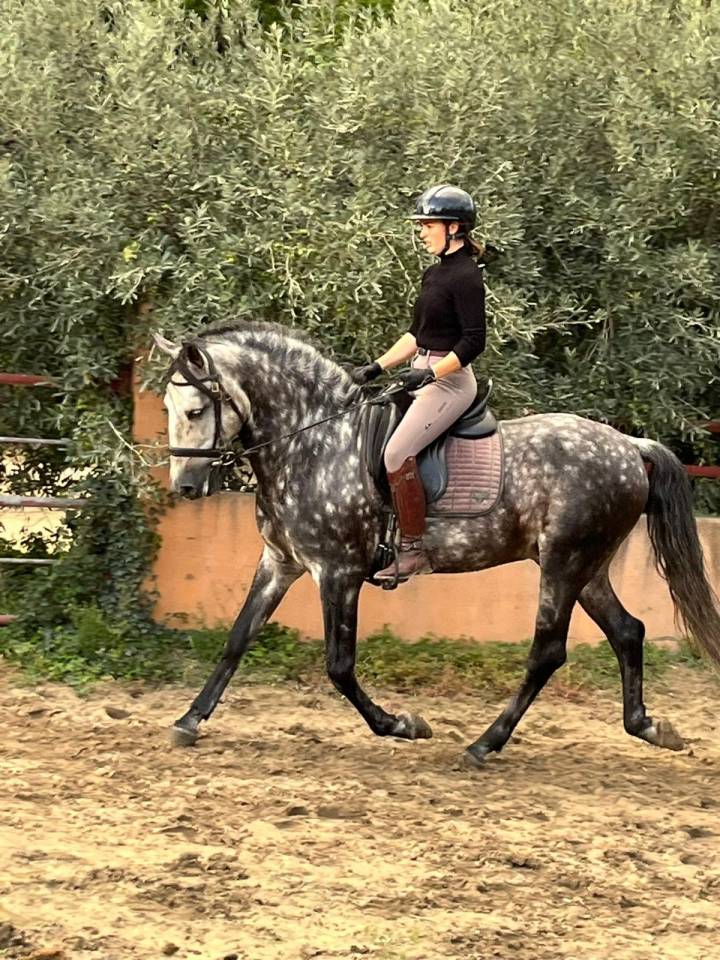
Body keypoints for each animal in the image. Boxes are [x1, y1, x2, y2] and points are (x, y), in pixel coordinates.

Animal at [152, 322, 720, 766]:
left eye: (197, 410)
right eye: (167, 406)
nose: (186, 487)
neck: (313, 442)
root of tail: (630, 446)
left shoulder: (338, 572)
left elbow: (339, 666)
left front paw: (403, 724)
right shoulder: (280, 562)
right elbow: (238, 638)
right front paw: (188, 720)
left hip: (564, 563)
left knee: (548, 652)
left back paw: (484, 745)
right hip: (588, 566)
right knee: (627, 631)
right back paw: (649, 727)